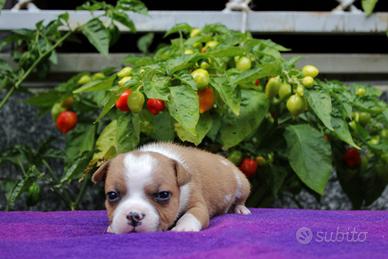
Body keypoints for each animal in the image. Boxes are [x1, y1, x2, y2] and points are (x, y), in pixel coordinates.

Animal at [93, 143, 252, 235]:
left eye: (163, 195)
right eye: (112, 195)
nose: (133, 216)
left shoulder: (197, 205)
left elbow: (191, 215)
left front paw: (184, 227)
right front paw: (112, 227)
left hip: (243, 184)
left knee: (241, 199)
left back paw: (240, 209)